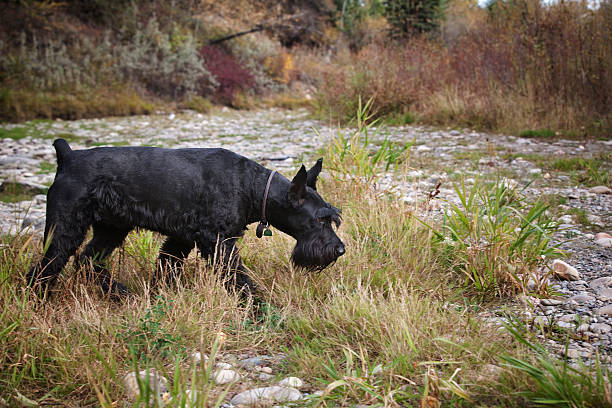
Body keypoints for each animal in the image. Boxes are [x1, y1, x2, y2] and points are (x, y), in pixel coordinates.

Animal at [27, 139, 344, 296]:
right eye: (320, 219)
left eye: (333, 218)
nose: (340, 249)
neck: (250, 186)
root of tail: (68, 157)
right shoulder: (217, 242)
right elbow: (239, 278)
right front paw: (258, 310)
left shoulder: (181, 238)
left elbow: (166, 268)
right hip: (65, 229)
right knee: (45, 268)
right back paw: (38, 301)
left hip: (112, 228)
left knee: (88, 259)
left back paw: (118, 292)